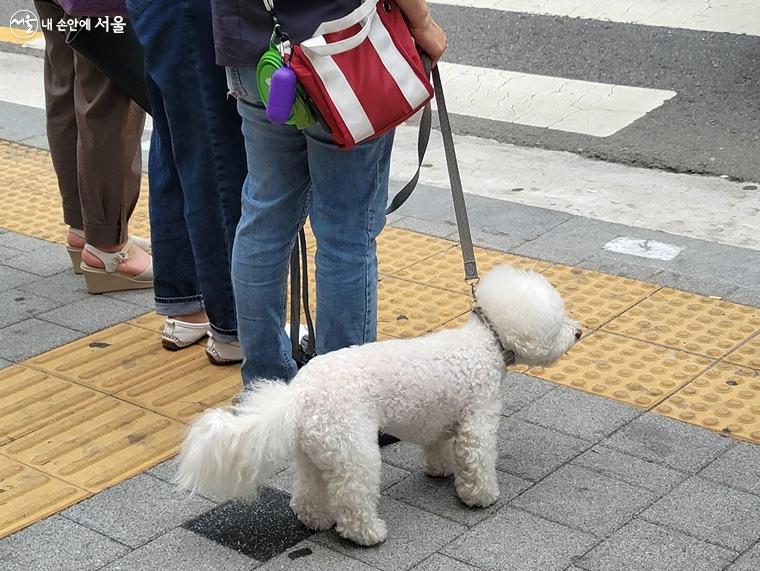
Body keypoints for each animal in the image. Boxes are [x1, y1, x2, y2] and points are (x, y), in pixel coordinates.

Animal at [177, 266, 580, 548]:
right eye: (558, 322)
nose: (578, 332)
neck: (486, 343)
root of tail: (298, 395)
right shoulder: (478, 421)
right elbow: (477, 461)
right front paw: (480, 497)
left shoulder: (441, 419)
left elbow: (439, 447)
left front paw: (441, 470)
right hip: (355, 450)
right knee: (354, 497)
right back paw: (368, 534)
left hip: (314, 451)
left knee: (308, 492)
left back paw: (315, 520)